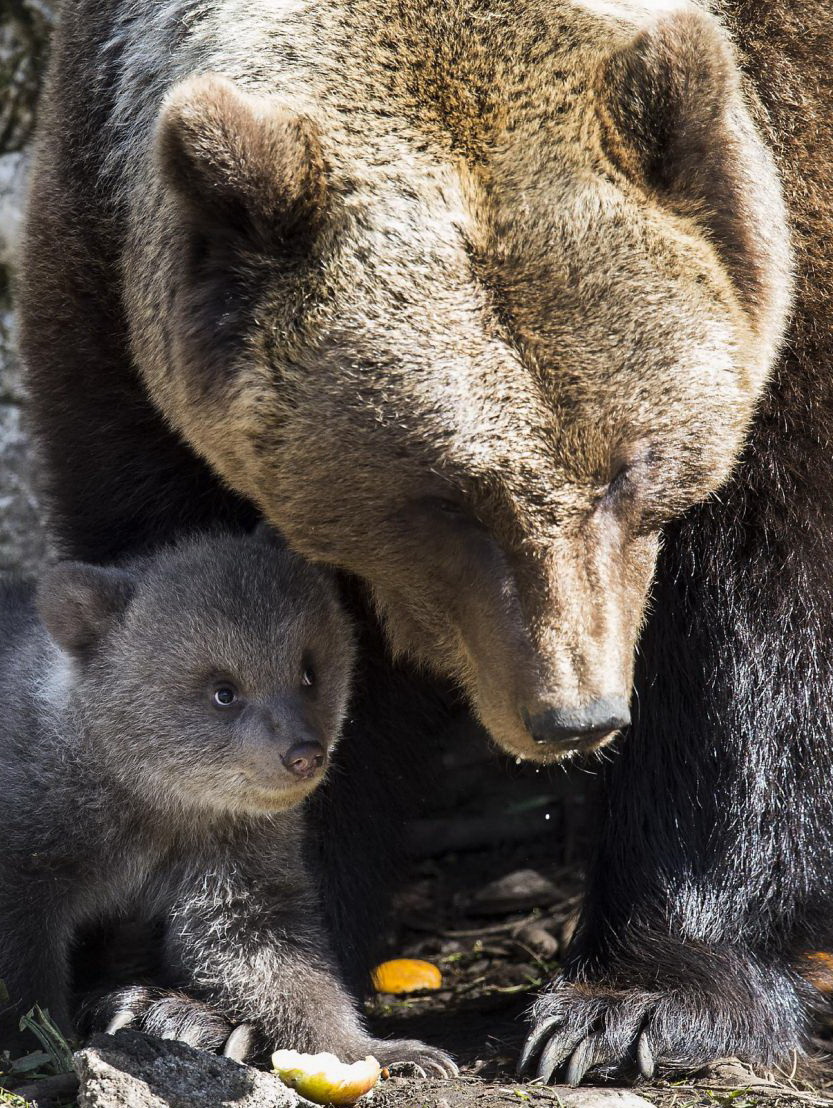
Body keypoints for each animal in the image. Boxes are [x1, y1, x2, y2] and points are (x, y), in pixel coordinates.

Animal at [16, 0, 828, 1081]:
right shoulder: (114, 290)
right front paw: (189, 999)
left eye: (628, 465)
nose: (572, 714)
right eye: (448, 499)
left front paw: (635, 1003)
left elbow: (752, 634)